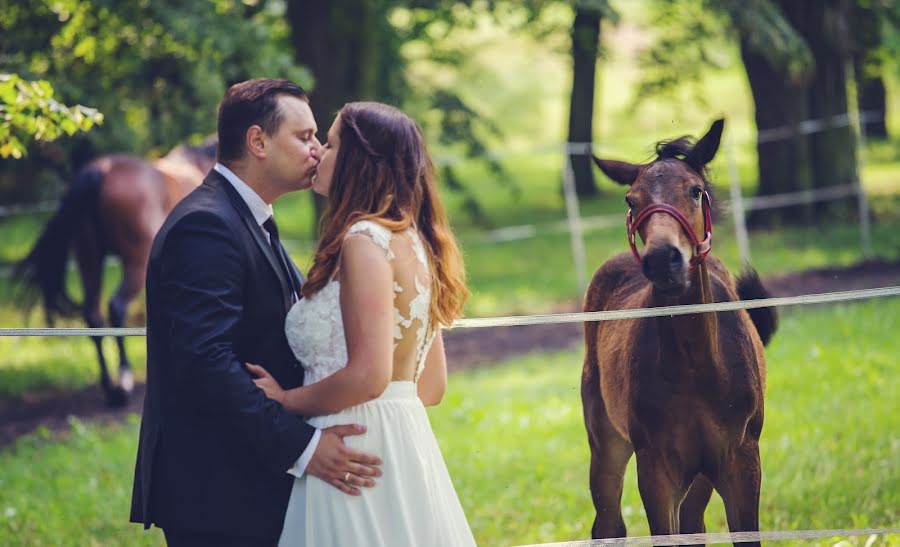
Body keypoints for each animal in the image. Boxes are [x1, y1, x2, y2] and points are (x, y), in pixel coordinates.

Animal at [14, 137, 215, 406]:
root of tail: (101, 170)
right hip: (135, 261)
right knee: (117, 308)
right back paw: (124, 382)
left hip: (88, 257)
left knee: (93, 315)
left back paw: (110, 386)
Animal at [580, 121, 776, 547]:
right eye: (631, 201)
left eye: (695, 190)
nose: (662, 260)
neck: (696, 364)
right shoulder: (656, 469)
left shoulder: (741, 461)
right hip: (607, 447)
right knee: (608, 524)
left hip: (701, 475)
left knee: (692, 523)